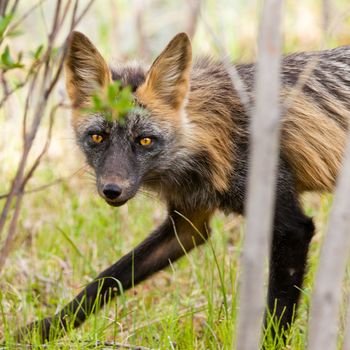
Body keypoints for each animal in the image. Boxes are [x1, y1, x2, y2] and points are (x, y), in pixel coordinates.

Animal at [17, 31, 350, 344]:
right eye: (98, 137)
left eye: (145, 140)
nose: (112, 190)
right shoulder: (189, 223)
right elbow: (107, 279)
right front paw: (46, 330)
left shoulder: (292, 227)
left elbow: (278, 314)